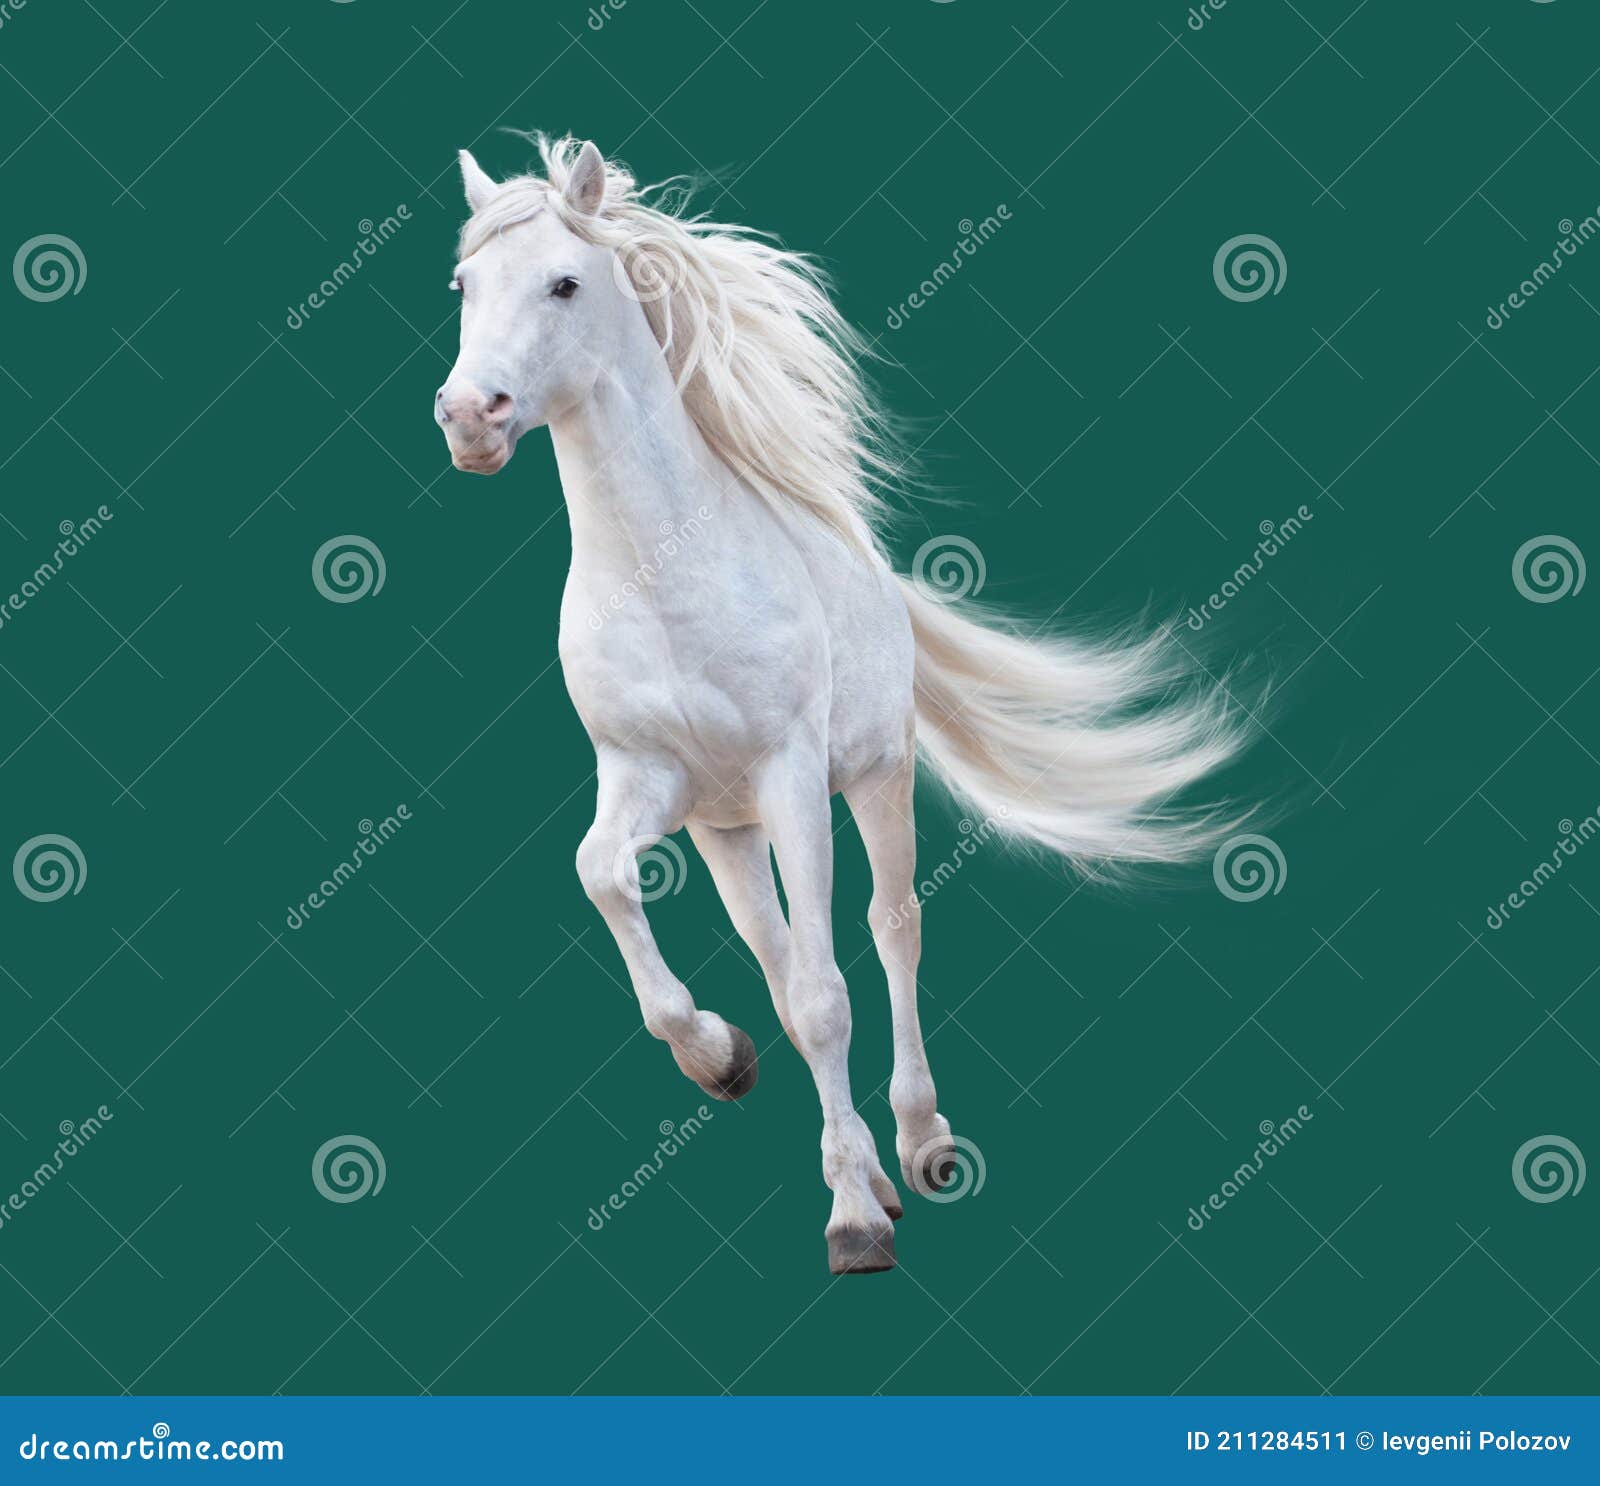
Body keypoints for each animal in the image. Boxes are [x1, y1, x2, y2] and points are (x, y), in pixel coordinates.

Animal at [432, 136, 1250, 1275]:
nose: (471, 417)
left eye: (564, 283)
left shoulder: (793, 776)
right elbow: (610, 878)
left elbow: (829, 995)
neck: (666, 572)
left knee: (892, 931)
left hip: (874, 777)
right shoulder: (648, 779)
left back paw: (919, 1148)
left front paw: (856, 1221)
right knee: (775, 948)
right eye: (464, 285)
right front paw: (719, 1060)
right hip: (727, 829)